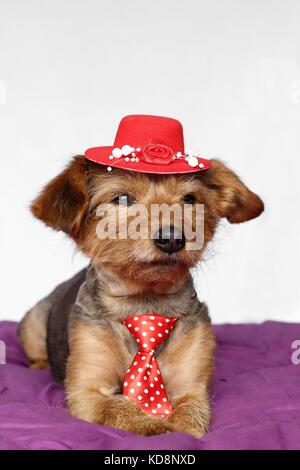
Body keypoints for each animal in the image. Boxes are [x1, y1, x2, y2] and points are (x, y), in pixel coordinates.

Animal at [18, 114, 264, 436]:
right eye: (122, 199)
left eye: (189, 198)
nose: (172, 238)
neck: (144, 302)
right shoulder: (88, 390)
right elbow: (118, 407)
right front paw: (151, 422)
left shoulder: (192, 387)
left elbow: (188, 420)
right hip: (32, 324)